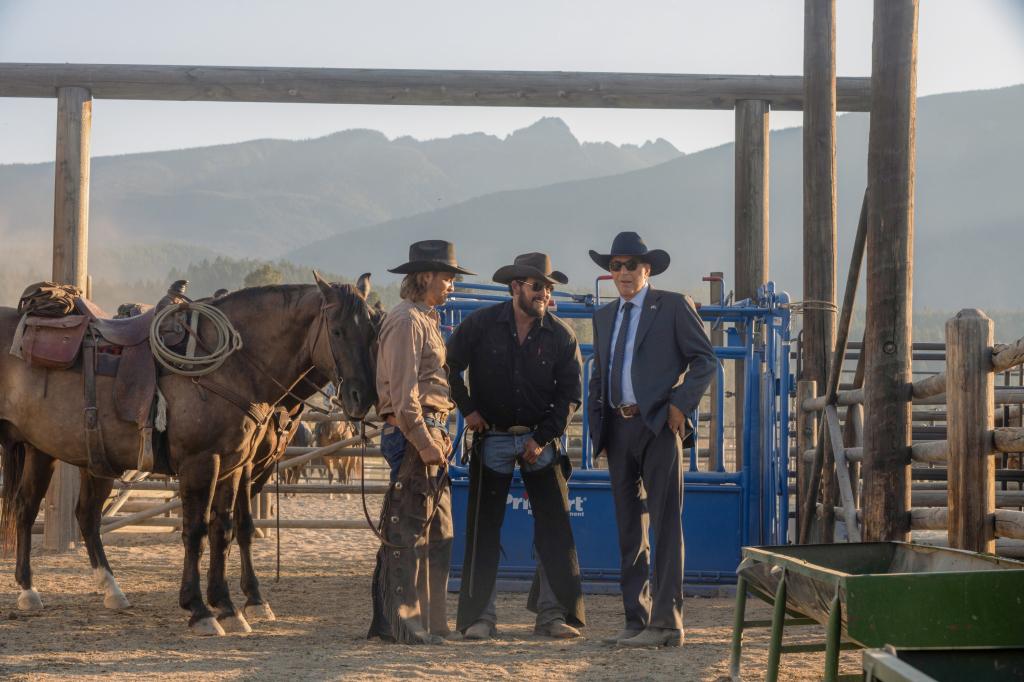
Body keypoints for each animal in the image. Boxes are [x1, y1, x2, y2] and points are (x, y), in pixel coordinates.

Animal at [0, 270, 378, 630]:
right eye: (338, 331)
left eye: (373, 330)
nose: (363, 397)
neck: (232, 366)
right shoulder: (202, 463)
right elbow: (197, 530)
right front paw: (200, 609)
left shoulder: (234, 464)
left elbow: (225, 528)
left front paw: (228, 606)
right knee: (32, 510)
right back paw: (31, 592)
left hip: (52, 451)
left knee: (62, 513)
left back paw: (101, 591)